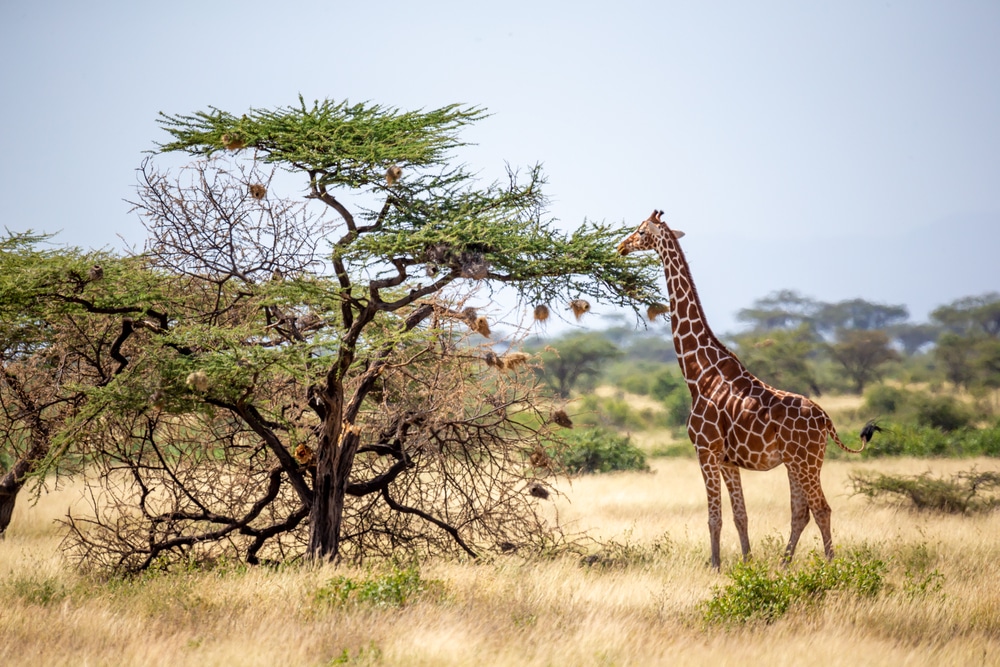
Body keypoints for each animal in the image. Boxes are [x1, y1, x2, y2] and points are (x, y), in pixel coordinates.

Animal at [616, 210, 876, 568]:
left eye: (641, 231)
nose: (620, 247)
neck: (698, 373)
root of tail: (826, 419)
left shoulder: (706, 451)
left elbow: (714, 517)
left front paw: (714, 565)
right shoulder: (728, 460)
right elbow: (741, 515)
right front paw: (747, 562)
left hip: (806, 461)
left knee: (821, 509)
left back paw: (829, 565)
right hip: (798, 462)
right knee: (801, 512)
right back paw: (783, 563)